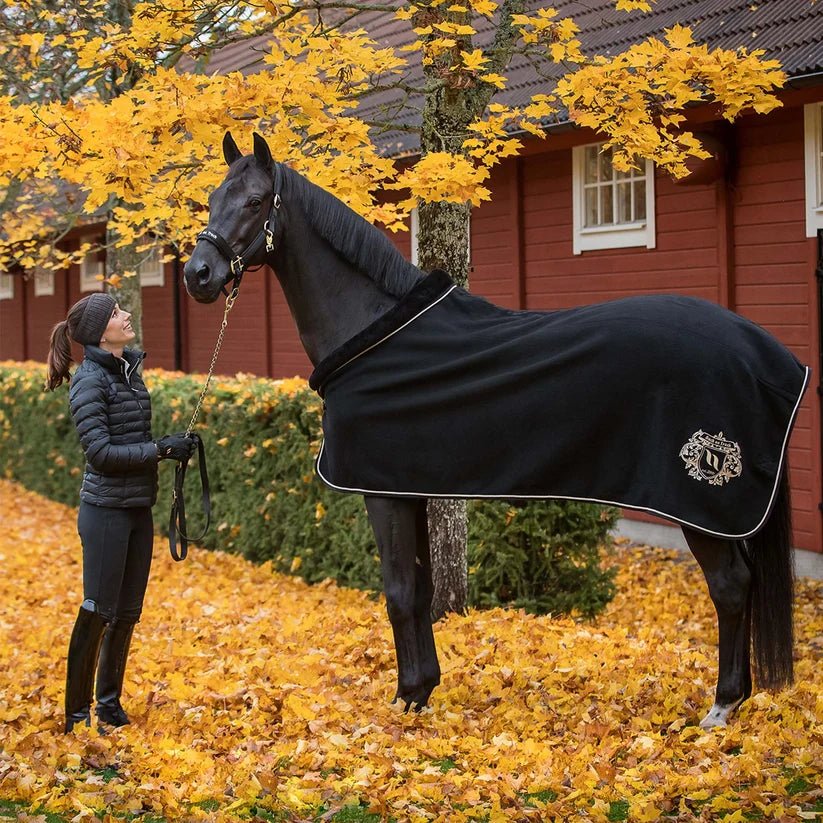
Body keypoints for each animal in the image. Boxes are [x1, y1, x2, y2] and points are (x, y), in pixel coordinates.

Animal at [183, 132, 809, 729]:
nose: (198, 275)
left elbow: (397, 592)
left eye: (256, 201)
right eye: (211, 199)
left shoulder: (382, 492)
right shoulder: (410, 488)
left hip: (700, 503)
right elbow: (421, 589)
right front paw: (424, 690)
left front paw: (405, 699)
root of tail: (765, 354)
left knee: (731, 586)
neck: (371, 329)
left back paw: (721, 707)